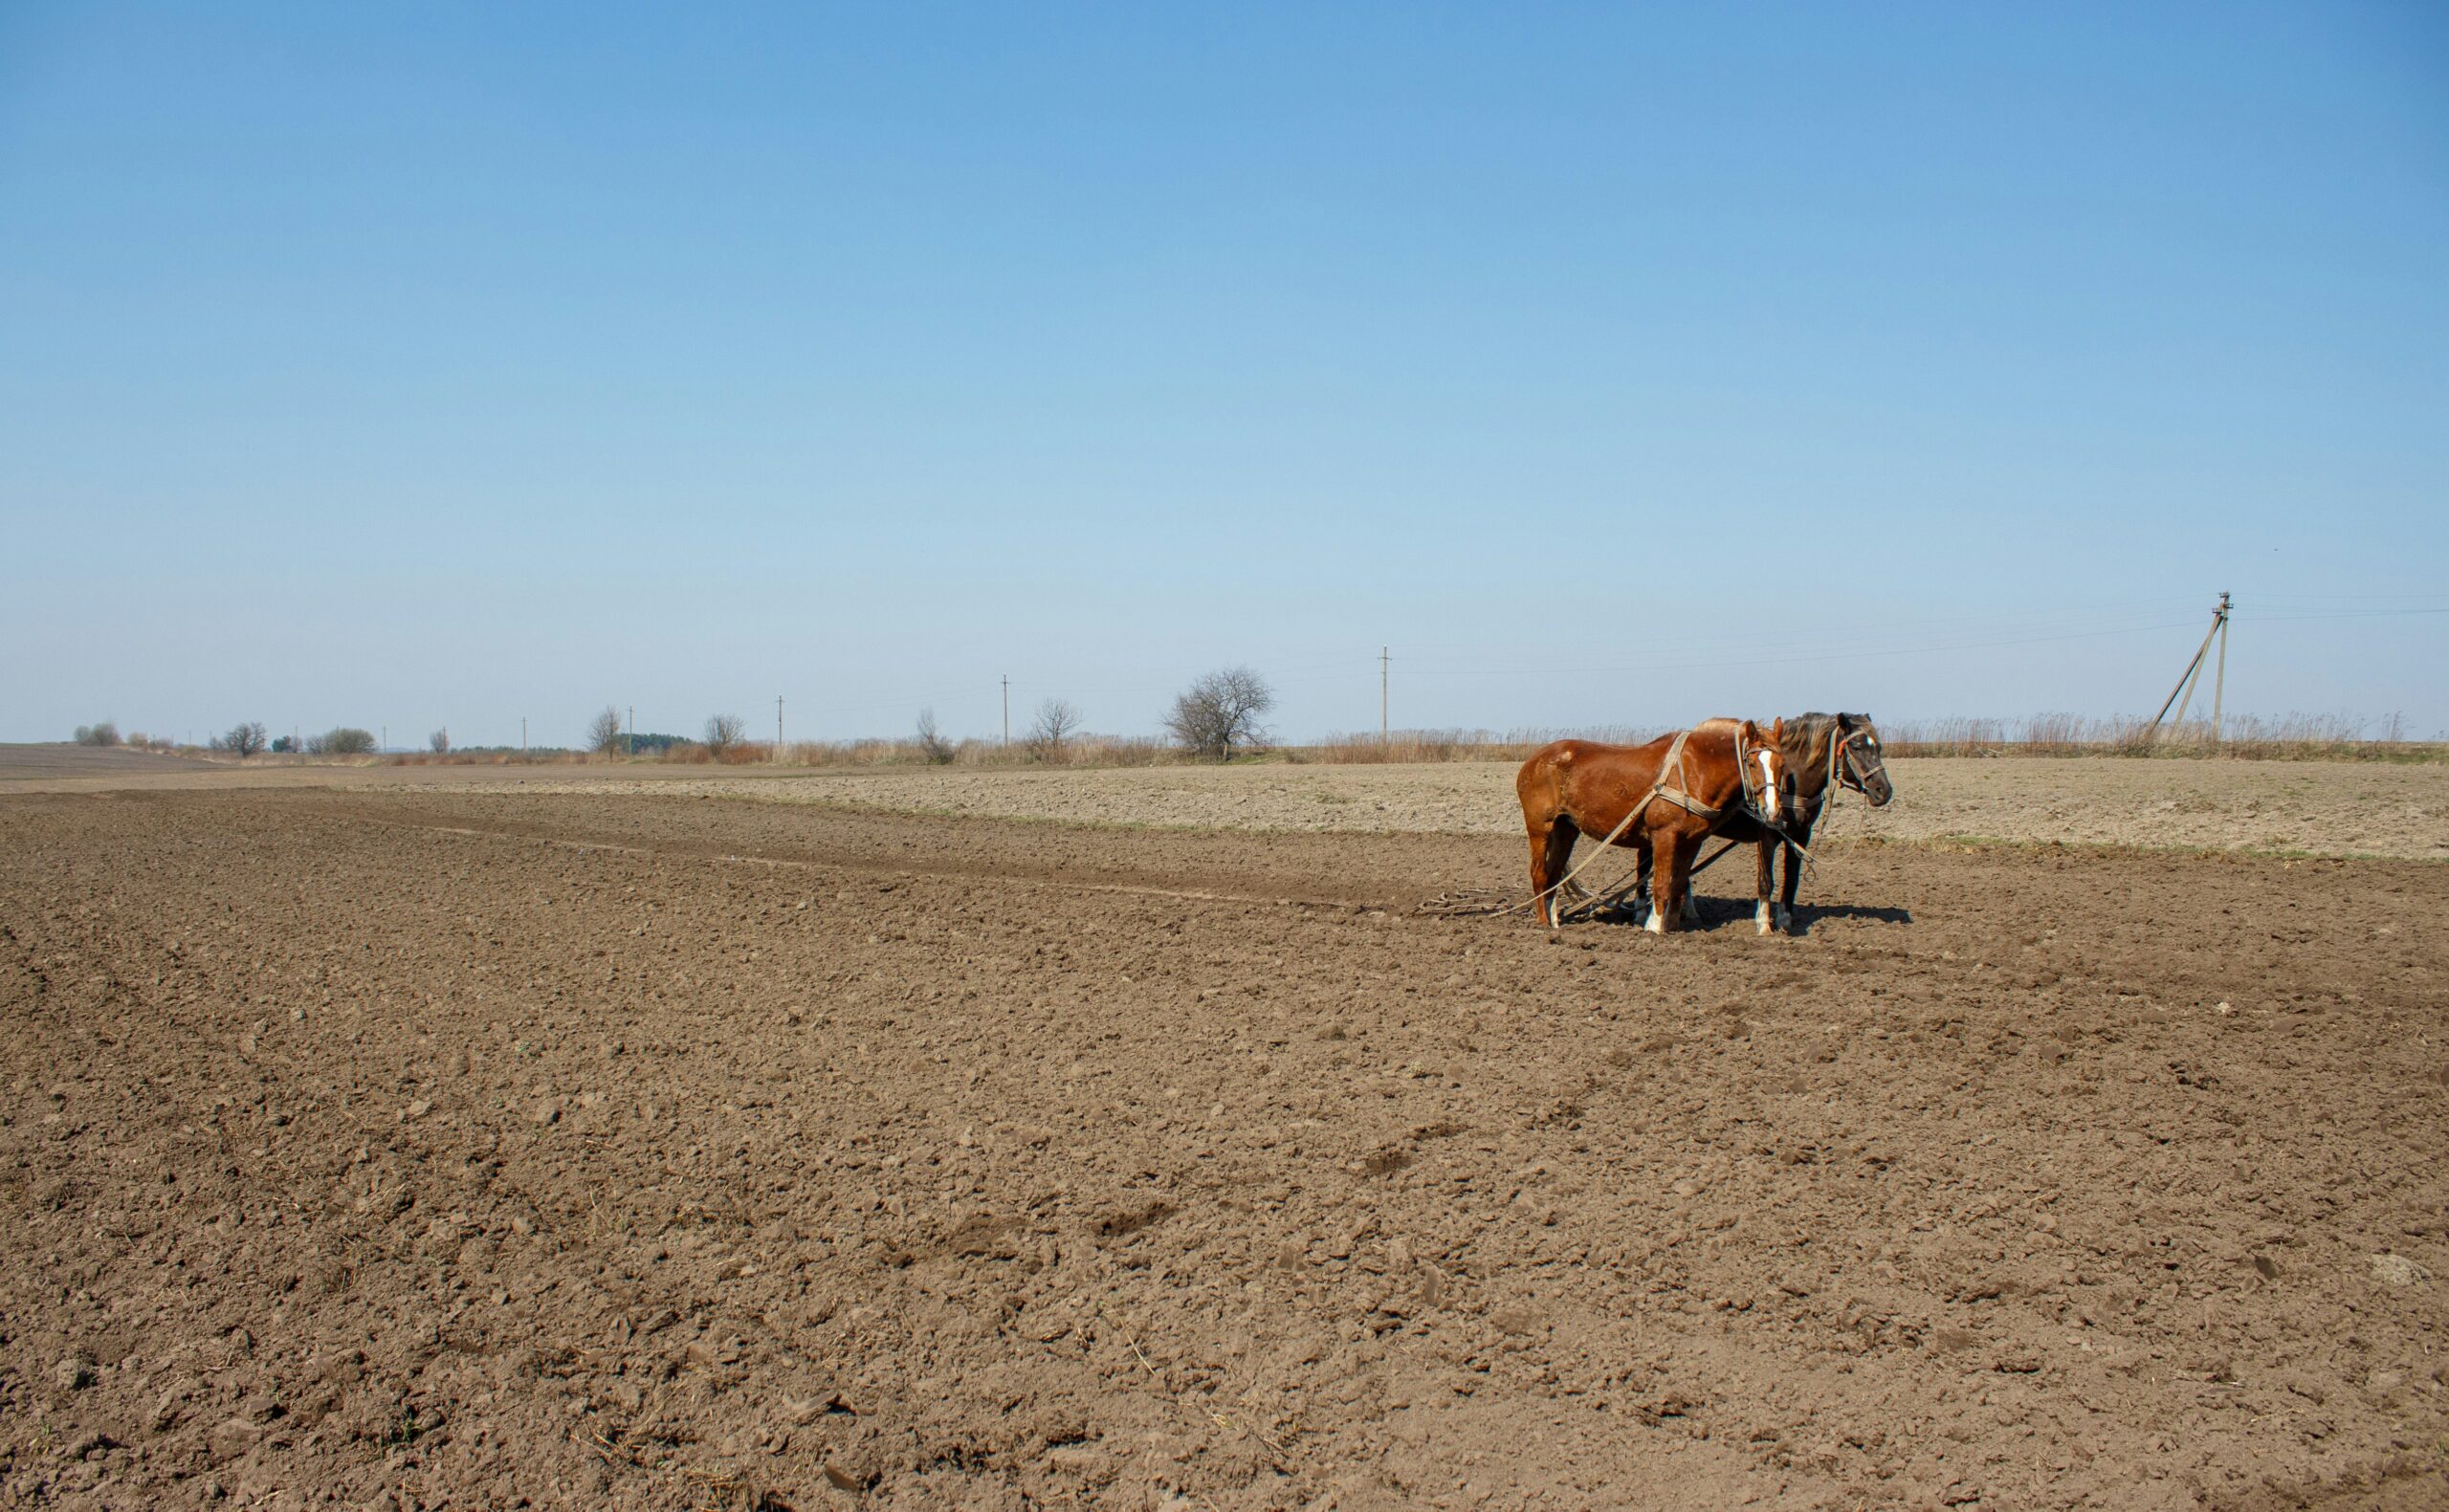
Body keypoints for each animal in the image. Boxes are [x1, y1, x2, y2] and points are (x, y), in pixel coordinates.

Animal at [1514, 719, 1792, 933]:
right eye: (1752, 764)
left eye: (1782, 765)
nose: (1773, 812)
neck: (1696, 769)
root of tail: (1532, 761)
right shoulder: (1664, 835)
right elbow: (1660, 884)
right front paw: (1654, 927)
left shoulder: (1692, 841)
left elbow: (1678, 884)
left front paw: (1671, 926)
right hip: (1540, 828)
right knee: (1539, 873)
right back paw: (1543, 923)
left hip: (1566, 829)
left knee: (1553, 874)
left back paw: (1554, 921)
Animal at [1641, 711, 1896, 934]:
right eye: (1857, 747)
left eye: (1879, 747)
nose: (1883, 790)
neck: (1793, 782)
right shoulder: (1767, 834)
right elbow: (1766, 881)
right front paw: (1764, 924)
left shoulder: (1801, 835)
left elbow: (1791, 879)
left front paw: (1785, 921)